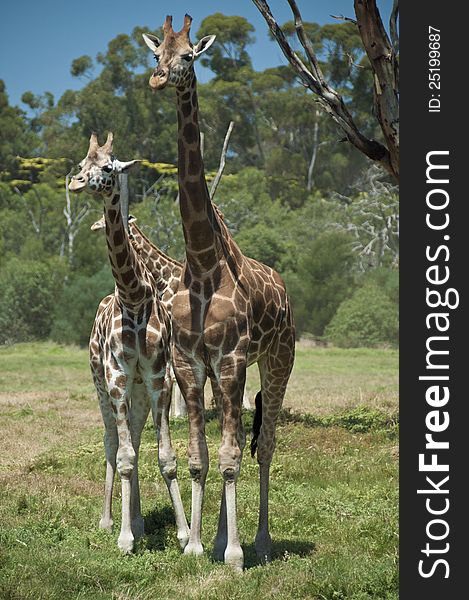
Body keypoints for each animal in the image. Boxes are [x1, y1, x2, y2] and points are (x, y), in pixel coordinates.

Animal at [68, 132, 188, 552]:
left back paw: (137, 518)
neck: (132, 295)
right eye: (82, 164)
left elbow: (164, 455)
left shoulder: (154, 376)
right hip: (100, 382)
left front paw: (186, 535)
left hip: (137, 389)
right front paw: (123, 538)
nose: (74, 182)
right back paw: (110, 521)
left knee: (132, 437)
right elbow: (123, 456)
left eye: (107, 167)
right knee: (111, 440)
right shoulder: (117, 375)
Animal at [143, 12, 294, 568]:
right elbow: (199, 458)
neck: (204, 266)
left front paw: (232, 555)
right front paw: (193, 544)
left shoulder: (230, 361)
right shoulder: (191, 364)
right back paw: (222, 536)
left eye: (189, 56)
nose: (158, 79)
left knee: (265, 444)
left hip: (278, 358)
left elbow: (232, 457)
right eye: (156, 53)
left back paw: (261, 541)